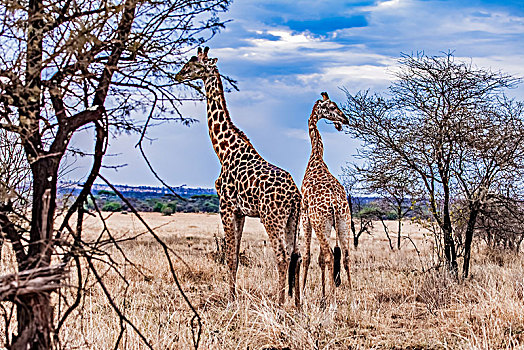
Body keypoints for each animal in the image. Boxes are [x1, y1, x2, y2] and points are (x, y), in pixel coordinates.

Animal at [175, 47, 300, 304]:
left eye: (195, 63)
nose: (178, 74)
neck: (223, 151)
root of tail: (294, 195)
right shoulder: (240, 211)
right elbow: (235, 255)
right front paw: (233, 295)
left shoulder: (226, 205)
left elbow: (231, 256)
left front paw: (231, 299)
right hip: (293, 217)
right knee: (296, 254)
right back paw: (295, 302)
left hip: (271, 217)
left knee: (282, 255)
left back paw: (280, 302)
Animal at [298, 91, 352, 298]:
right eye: (331, 106)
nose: (344, 119)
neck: (316, 158)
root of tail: (335, 205)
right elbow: (320, 259)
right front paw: (322, 295)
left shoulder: (305, 215)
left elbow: (307, 256)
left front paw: (302, 294)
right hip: (344, 221)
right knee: (345, 256)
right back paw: (351, 299)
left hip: (322, 223)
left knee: (329, 254)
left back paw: (333, 301)